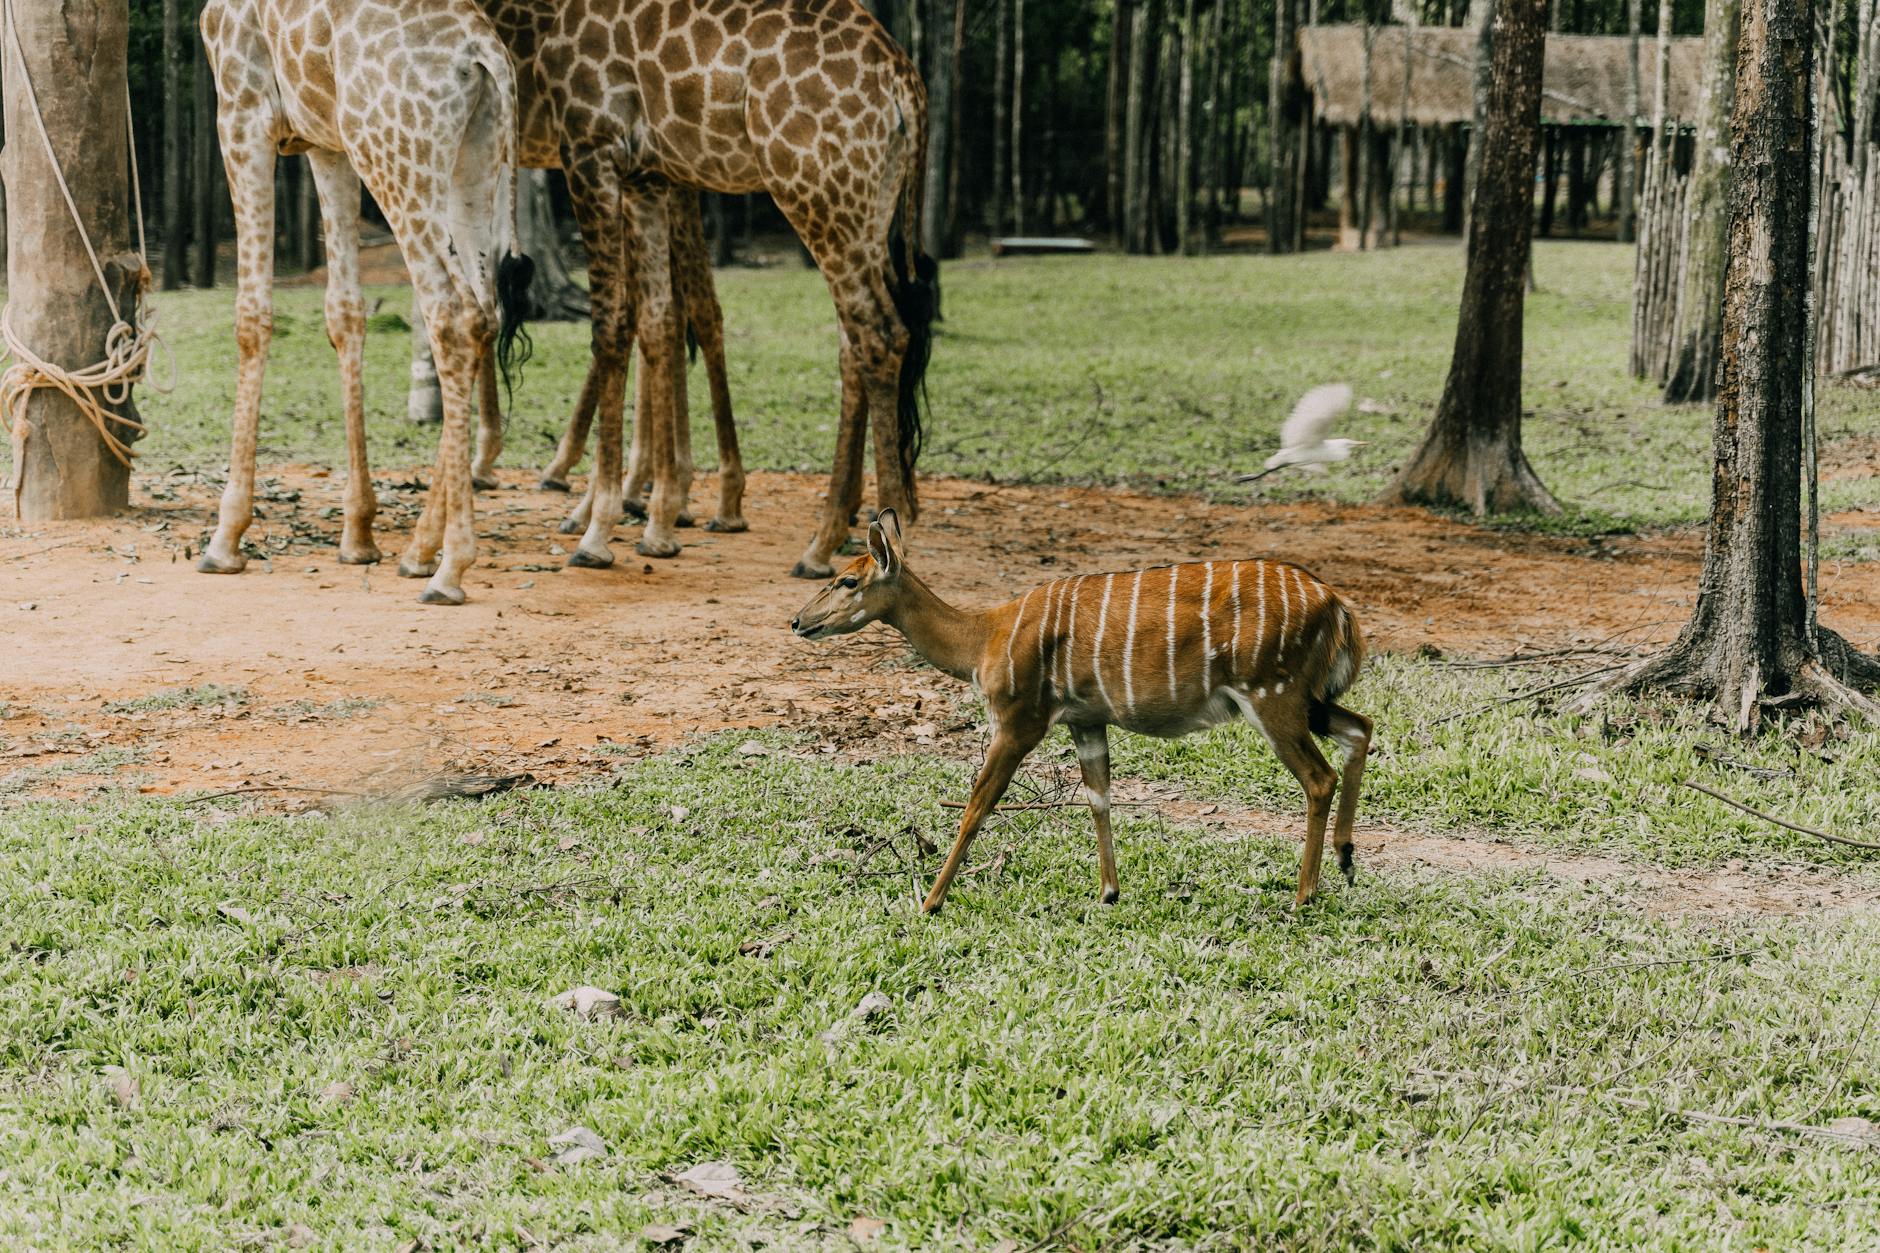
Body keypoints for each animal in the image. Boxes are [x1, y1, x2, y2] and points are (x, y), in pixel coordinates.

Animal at [197, 0, 532, 605]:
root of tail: (482, 50)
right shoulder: (325, 141)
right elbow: (345, 311)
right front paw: (358, 534)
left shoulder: (241, 106)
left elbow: (252, 315)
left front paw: (225, 537)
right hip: (473, 158)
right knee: (484, 314)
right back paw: (420, 550)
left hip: (393, 157)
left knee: (451, 314)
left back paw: (450, 569)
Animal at [539, 0, 939, 577]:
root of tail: (904, 80)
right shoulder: (650, 172)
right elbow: (662, 316)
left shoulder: (597, 150)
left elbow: (624, 321)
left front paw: (614, 520)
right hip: (866, 202)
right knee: (855, 338)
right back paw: (831, 535)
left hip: (818, 190)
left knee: (878, 333)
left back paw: (873, 530)